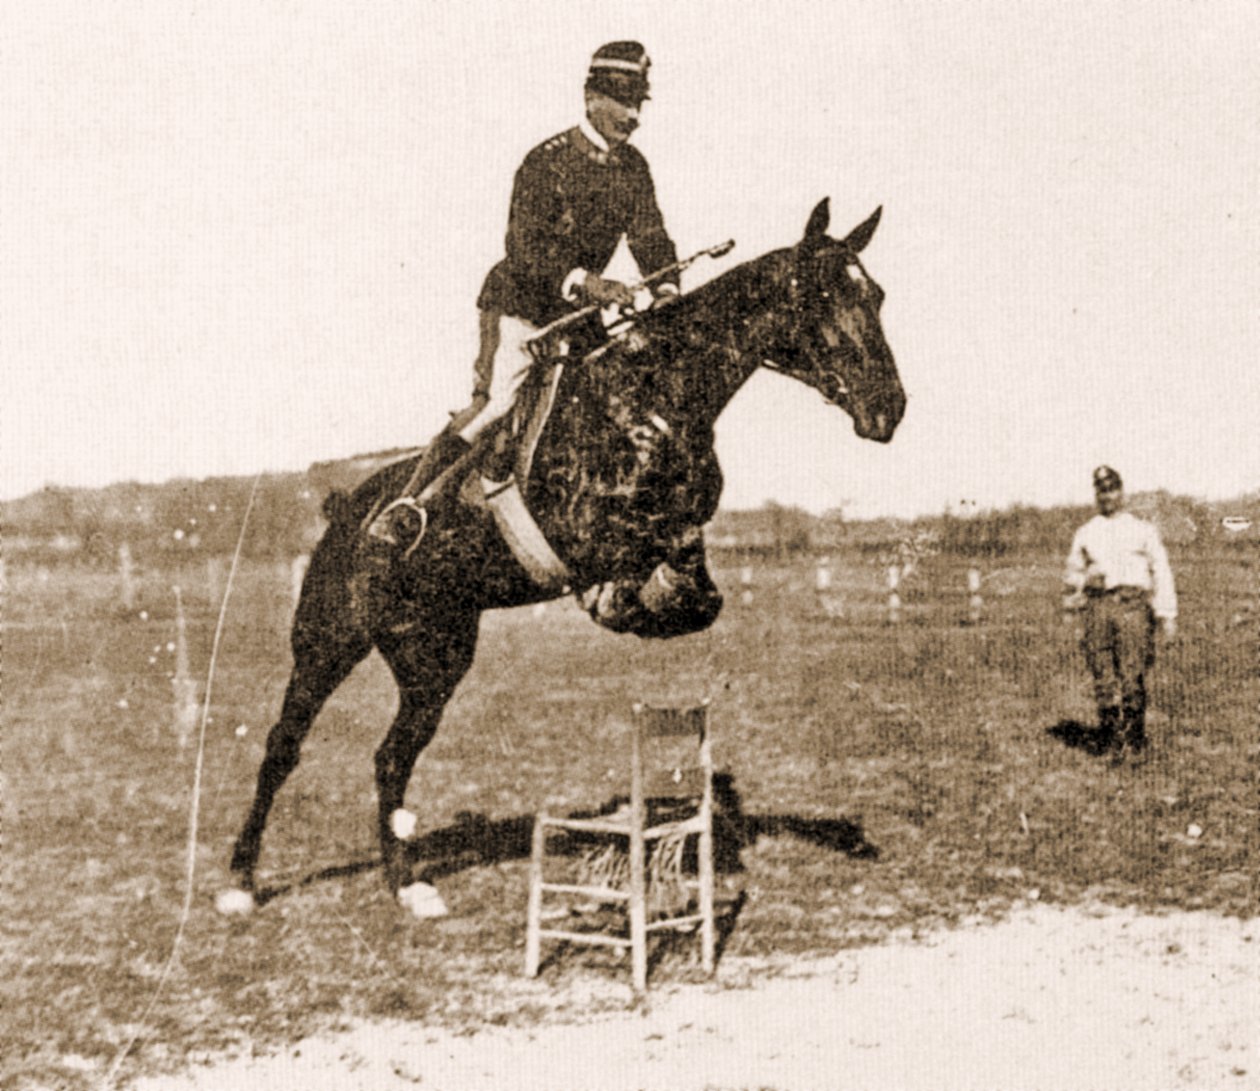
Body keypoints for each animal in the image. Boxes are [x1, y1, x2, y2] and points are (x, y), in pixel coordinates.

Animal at [226, 197, 907, 912]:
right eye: (821, 295)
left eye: (876, 295)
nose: (888, 409)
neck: (655, 393)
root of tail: (343, 510)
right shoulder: (586, 531)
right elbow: (648, 549)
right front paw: (618, 601)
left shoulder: (679, 532)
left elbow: (698, 582)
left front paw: (645, 605)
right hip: (331, 639)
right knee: (283, 746)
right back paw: (241, 882)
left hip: (432, 656)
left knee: (391, 757)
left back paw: (408, 884)